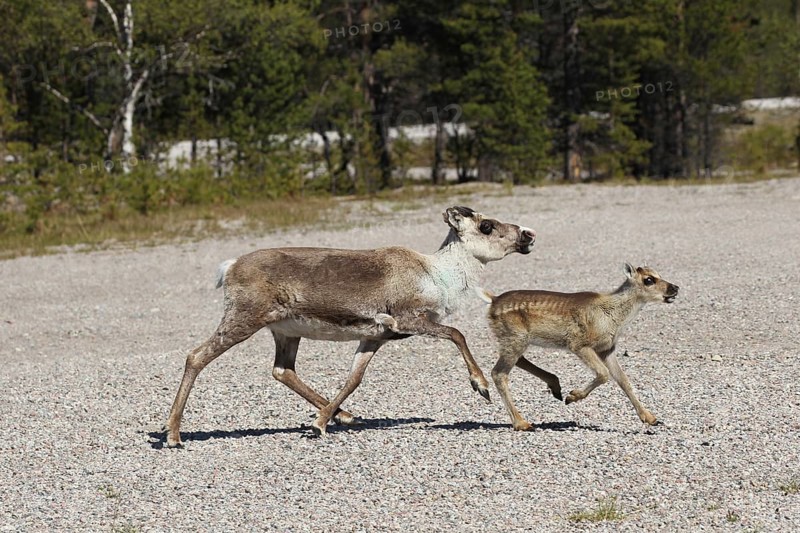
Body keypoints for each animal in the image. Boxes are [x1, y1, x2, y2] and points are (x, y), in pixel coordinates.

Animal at [164, 206, 536, 447]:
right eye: (486, 226)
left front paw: (320, 422)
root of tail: (229, 267)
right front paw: (480, 386)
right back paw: (173, 435)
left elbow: (354, 379)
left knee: (283, 370)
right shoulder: (408, 319)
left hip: (286, 332)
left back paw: (345, 415)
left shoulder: (375, 337)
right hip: (244, 318)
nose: (527, 234)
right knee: (196, 356)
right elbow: (457, 333)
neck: (437, 276)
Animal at [477, 264, 678, 431]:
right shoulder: (578, 344)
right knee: (499, 373)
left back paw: (554, 387)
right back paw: (522, 423)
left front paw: (651, 418)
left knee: (518, 362)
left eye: (659, 274)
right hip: (515, 337)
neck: (612, 316)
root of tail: (492, 300)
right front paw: (571, 397)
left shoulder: (607, 349)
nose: (675, 288)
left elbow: (623, 380)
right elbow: (604, 374)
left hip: (517, 340)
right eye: (649, 279)